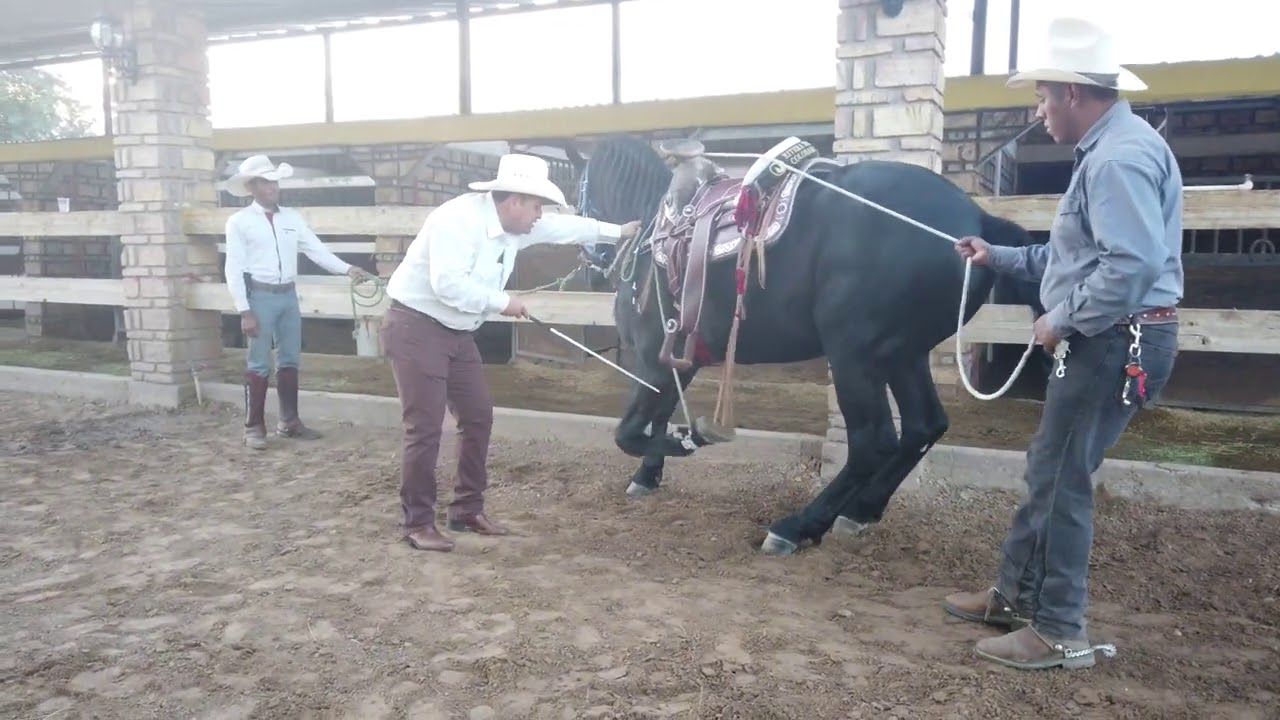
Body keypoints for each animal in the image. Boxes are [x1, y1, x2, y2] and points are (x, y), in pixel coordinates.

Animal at [574, 133, 1043, 555]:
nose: (592, 260)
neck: (658, 231)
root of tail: (977, 224)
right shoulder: (677, 362)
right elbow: (655, 419)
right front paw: (650, 474)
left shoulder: (654, 359)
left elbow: (630, 431)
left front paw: (684, 443)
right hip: (902, 355)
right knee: (923, 427)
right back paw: (861, 511)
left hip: (854, 354)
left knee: (873, 443)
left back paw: (797, 526)